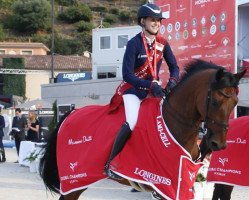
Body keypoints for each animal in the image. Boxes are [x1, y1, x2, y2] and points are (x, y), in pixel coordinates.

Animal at [38, 59, 245, 200]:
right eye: (216, 101)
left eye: (235, 102)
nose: (218, 144)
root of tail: (70, 114)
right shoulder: (165, 186)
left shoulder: (181, 184)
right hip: (73, 179)